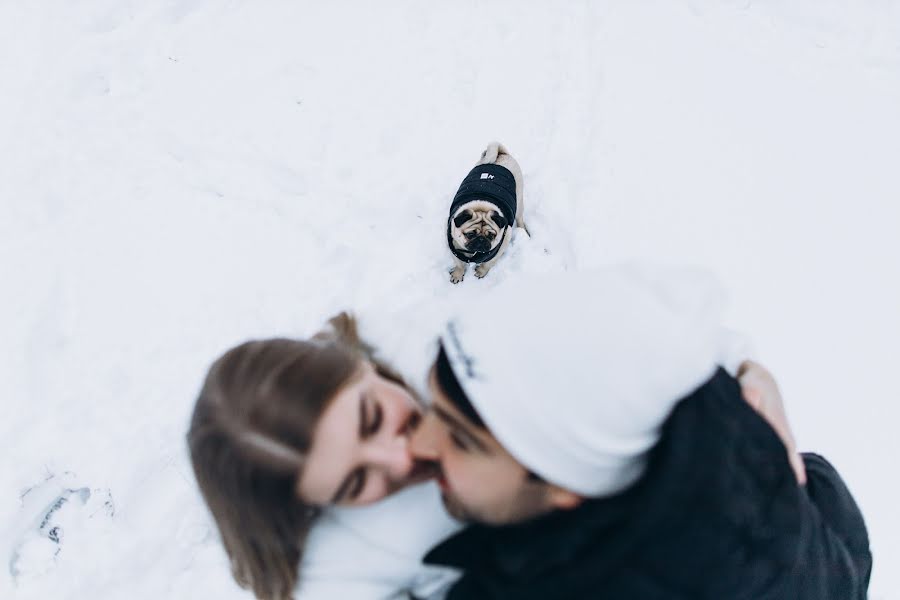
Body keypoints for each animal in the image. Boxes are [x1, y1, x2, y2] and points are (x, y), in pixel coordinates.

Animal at [446, 141, 524, 284]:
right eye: (470, 234)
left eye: (491, 235)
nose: (481, 239)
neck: (481, 206)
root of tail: (502, 154)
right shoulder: (453, 245)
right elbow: (459, 263)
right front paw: (458, 274)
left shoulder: (504, 241)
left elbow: (489, 262)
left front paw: (481, 272)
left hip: (520, 200)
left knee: (520, 217)